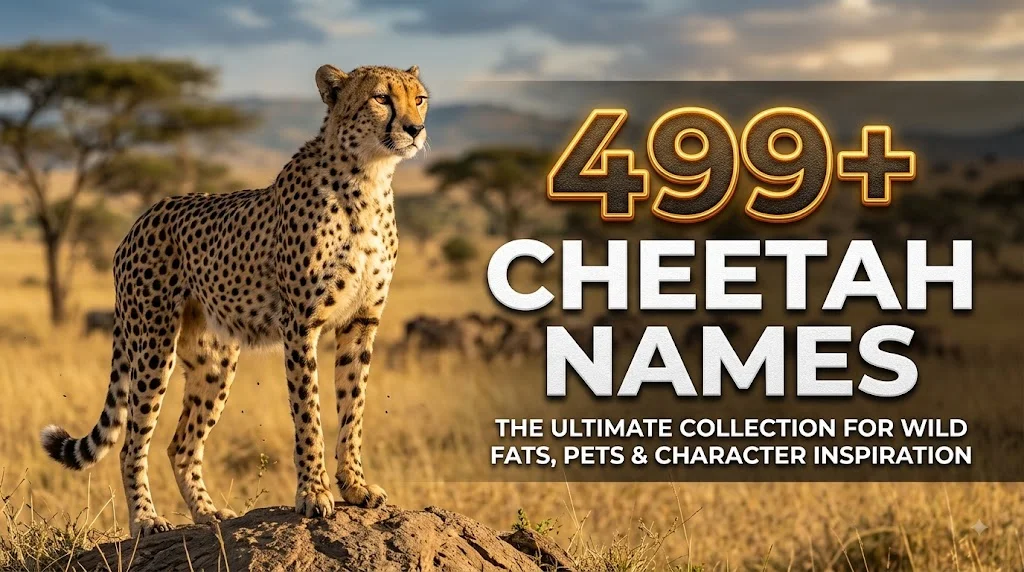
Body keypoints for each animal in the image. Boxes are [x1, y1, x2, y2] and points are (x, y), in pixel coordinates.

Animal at [40, 63, 428, 537]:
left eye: (419, 99)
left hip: (215, 361)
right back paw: (146, 520)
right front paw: (313, 493)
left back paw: (208, 514)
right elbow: (309, 413)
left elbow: (353, 408)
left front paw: (355, 486)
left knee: (181, 444)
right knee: (133, 443)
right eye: (381, 98)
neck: (369, 179)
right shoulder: (300, 325)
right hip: (153, 345)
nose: (415, 129)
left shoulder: (361, 323)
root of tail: (140, 218)